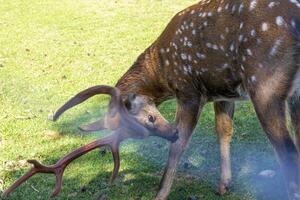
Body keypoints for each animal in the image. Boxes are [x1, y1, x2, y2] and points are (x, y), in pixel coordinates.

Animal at [1, 0, 300, 199]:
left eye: (150, 117)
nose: (169, 132)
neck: (163, 71)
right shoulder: (223, 91)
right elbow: (224, 130)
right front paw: (224, 185)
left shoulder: (189, 91)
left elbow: (179, 147)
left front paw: (160, 193)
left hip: (265, 83)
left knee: (288, 153)